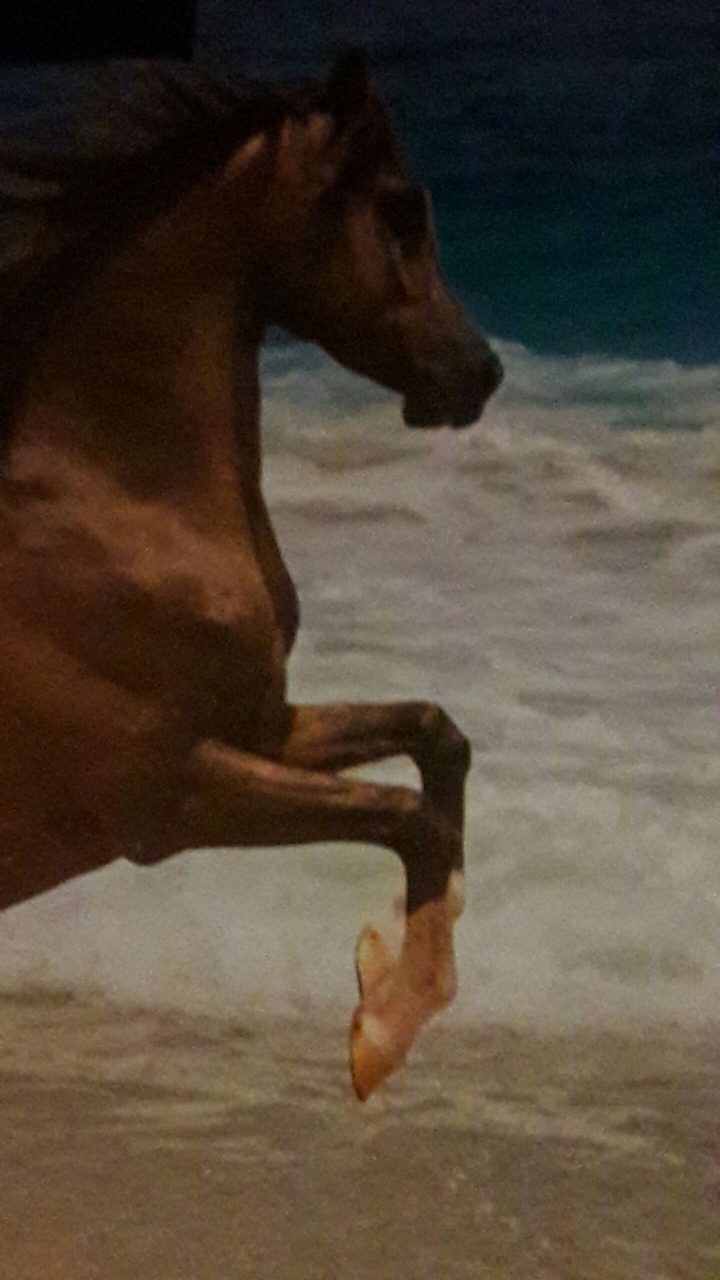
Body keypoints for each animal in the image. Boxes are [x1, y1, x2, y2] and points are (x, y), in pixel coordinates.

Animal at [0, 52, 502, 1099]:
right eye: (400, 210)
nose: (479, 371)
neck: (118, 511)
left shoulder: (260, 726)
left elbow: (436, 740)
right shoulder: (172, 795)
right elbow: (409, 817)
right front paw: (380, 1030)